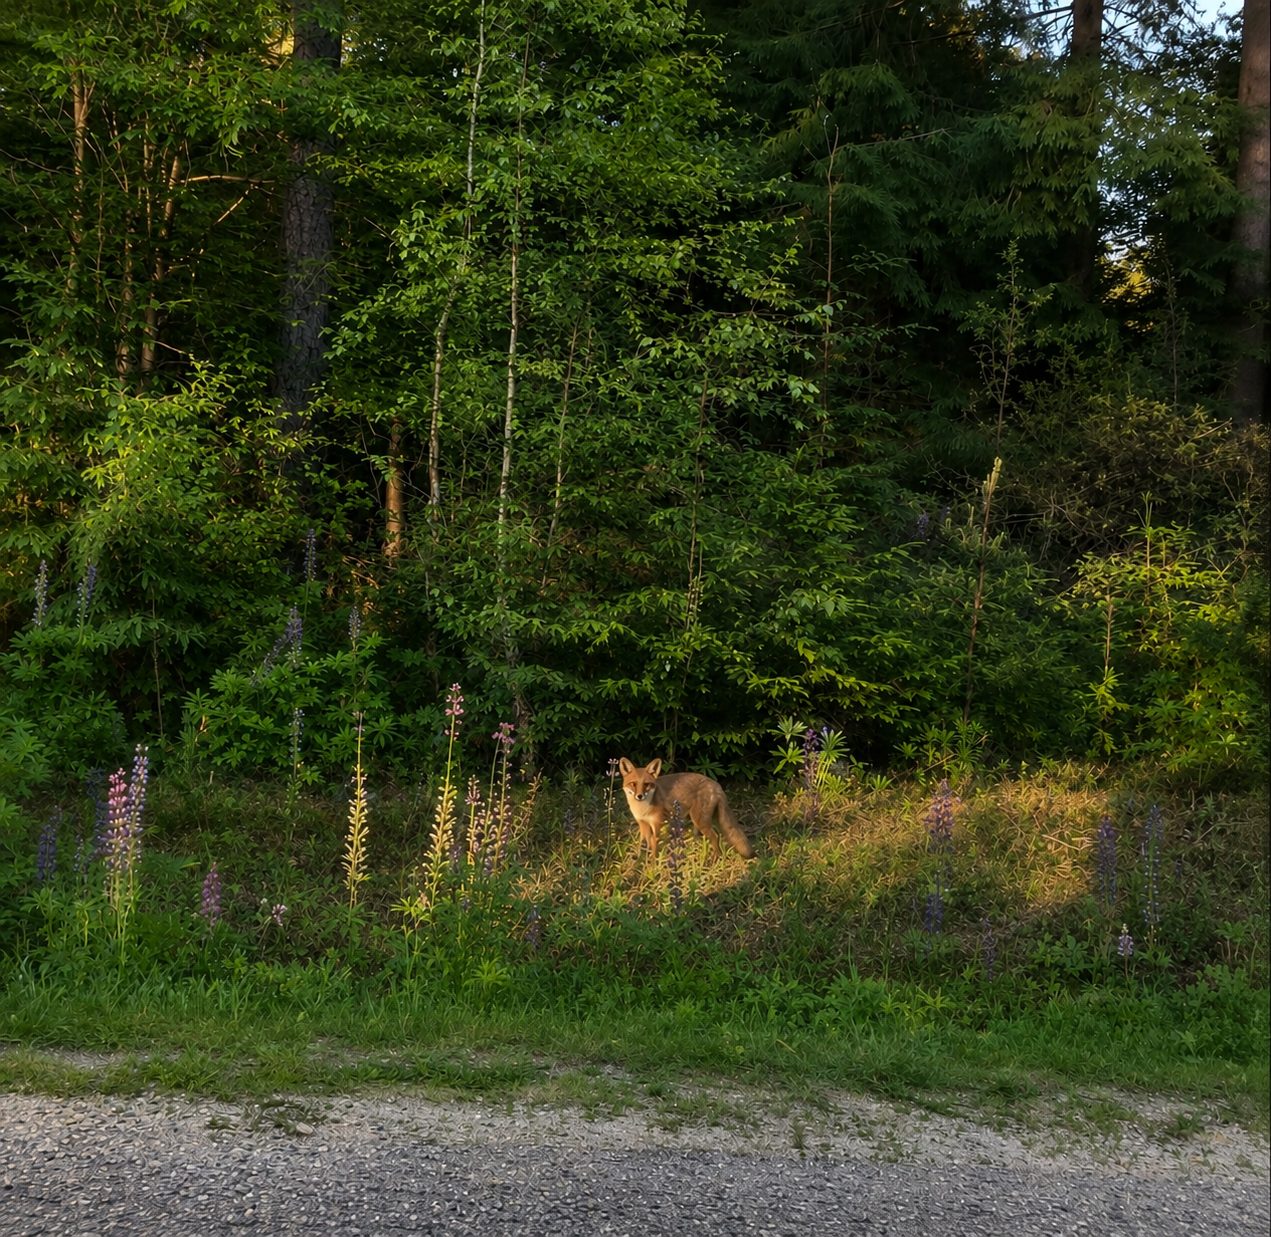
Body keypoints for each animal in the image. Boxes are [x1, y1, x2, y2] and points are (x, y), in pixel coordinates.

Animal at [618, 757, 755, 862]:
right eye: (633, 784)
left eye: (646, 784)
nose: (639, 796)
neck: (643, 809)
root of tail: (716, 784)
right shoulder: (643, 824)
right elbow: (643, 844)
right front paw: (639, 860)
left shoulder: (657, 824)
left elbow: (654, 843)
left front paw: (652, 862)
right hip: (696, 820)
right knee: (702, 835)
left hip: (700, 820)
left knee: (715, 836)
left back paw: (715, 858)